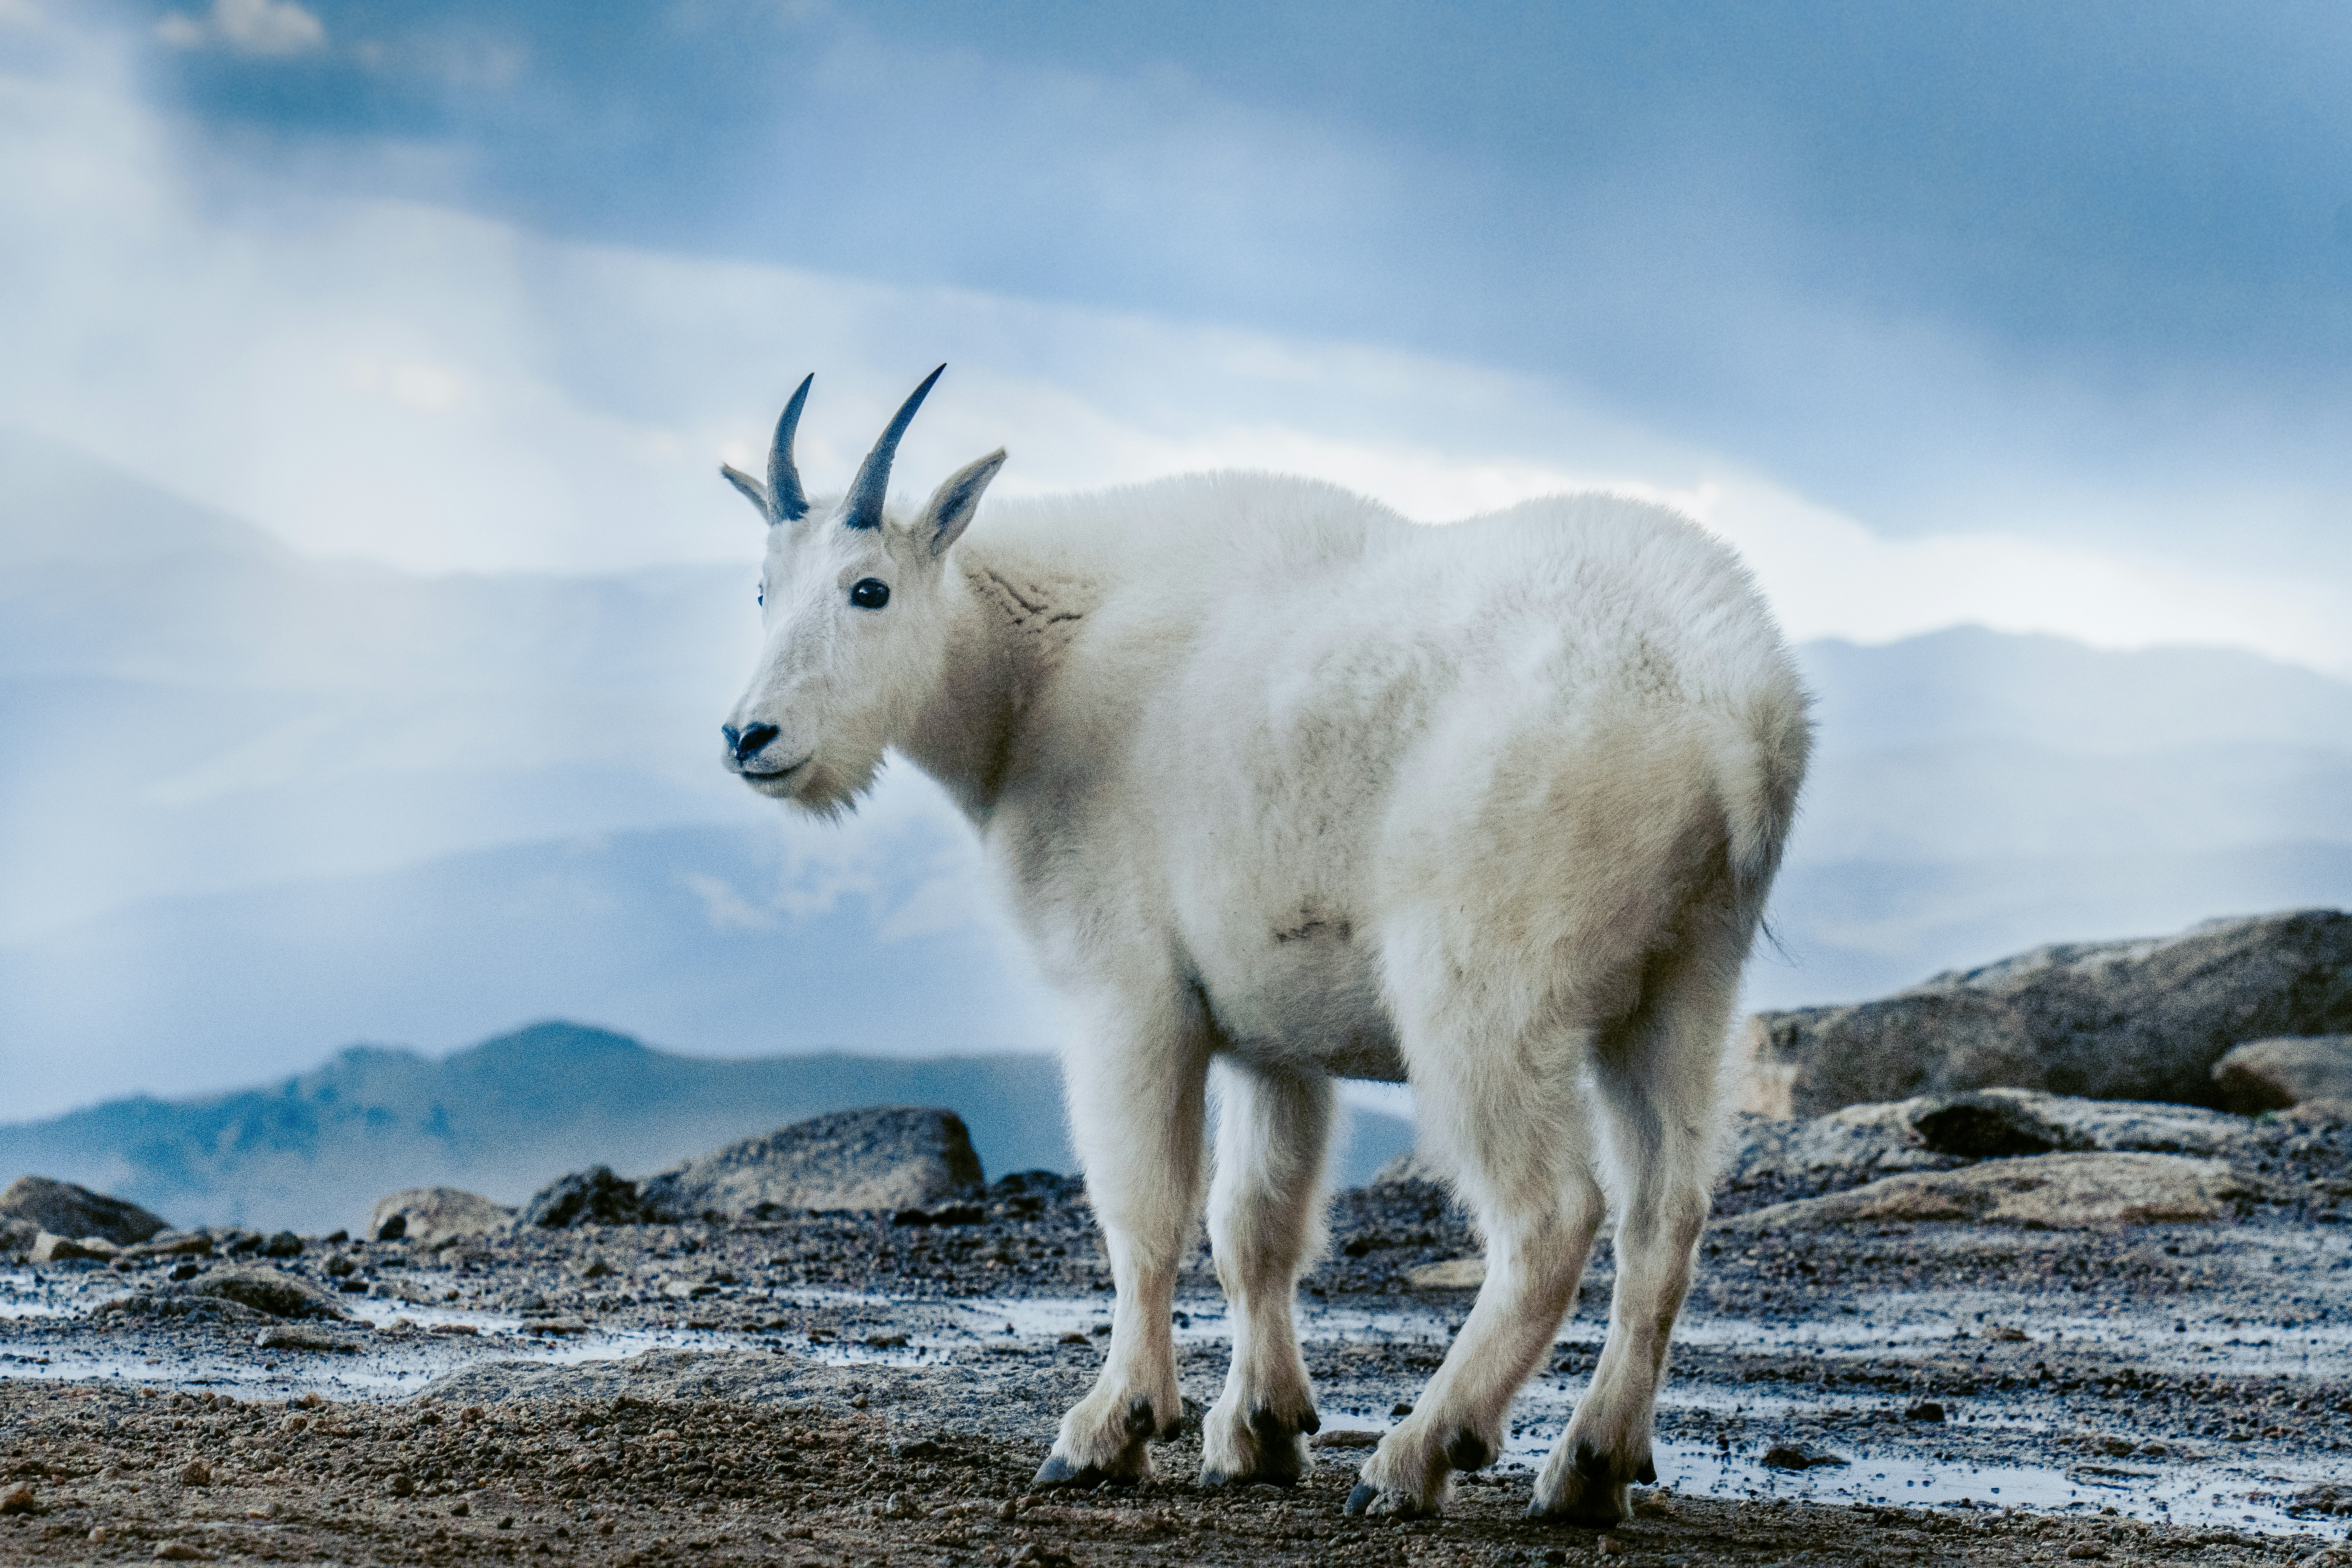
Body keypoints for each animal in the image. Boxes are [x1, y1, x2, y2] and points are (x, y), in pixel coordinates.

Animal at [716, 368, 1810, 1523]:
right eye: (762, 590)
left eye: (869, 590)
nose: (750, 737)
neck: (1034, 677)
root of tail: (1744, 714)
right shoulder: (1271, 1028)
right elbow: (1257, 1225)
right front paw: (1259, 1432)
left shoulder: (1126, 991)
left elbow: (1145, 1210)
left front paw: (1111, 1428)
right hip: (1691, 975)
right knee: (1666, 1211)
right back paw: (1590, 1465)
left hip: (1484, 981)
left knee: (1551, 1213)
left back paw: (1418, 1454)